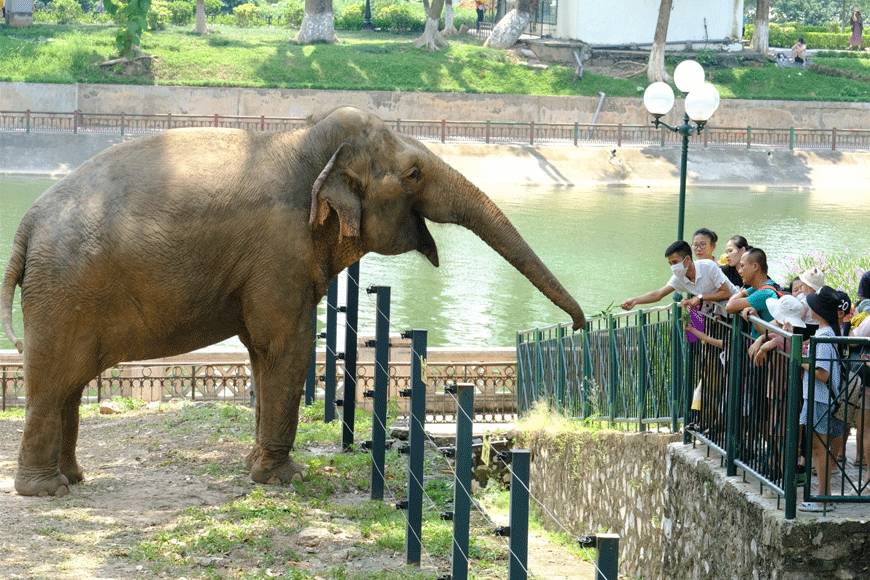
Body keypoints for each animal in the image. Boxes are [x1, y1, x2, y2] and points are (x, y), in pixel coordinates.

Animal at [3, 106, 584, 496]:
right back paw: (46, 491)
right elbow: (288, 343)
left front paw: (254, 467)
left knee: (68, 384)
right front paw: (284, 478)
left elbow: (262, 352)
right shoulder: (279, 251)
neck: (303, 140)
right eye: (415, 173)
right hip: (63, 293)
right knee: (53, 382)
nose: (579, 326)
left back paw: (73, 478)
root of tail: (26, 227)